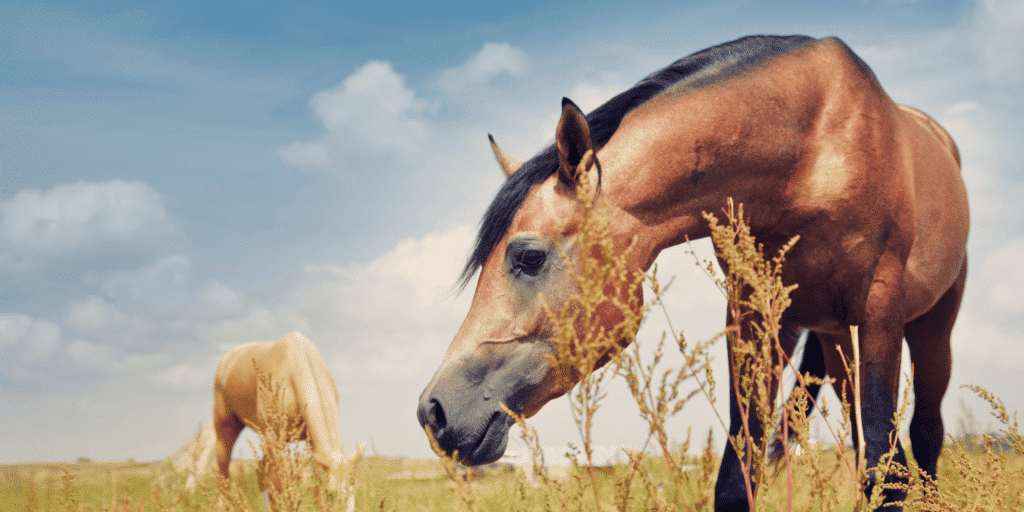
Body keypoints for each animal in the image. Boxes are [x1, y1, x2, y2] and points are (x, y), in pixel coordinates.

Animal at [212, 331, 364, 507]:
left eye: (353, 491)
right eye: (331, 493)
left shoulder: (313, 446)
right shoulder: (274, 439)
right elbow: (281, 488)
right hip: (226, 430)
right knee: (224, 470)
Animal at [415, 34, 966, 509]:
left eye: (528, 257)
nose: (433, 412)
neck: (813, 151)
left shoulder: (879, 313)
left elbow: (885, 473)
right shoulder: (754, 316)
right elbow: (740, 476)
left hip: (929, 327)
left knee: (924, 435)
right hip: (830, 337)